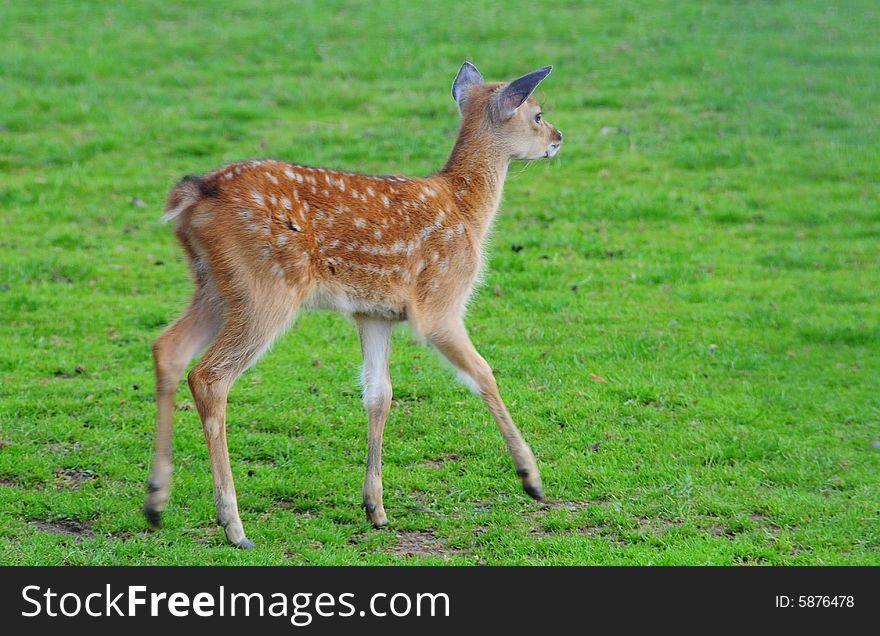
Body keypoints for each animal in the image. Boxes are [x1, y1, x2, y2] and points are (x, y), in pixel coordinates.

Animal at [141, 62, 560, 548]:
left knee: (167, 347)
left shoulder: (373, 313)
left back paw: (156, 500)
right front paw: (531, 478)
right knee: (209, 375)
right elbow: (484, 374)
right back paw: (233, 524)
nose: (557, 136)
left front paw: (375, 508)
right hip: (266, 284)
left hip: (215, 286)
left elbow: (379, 394)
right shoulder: (438, 302)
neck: (466, 212)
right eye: (537, 113)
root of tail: (190, 198)